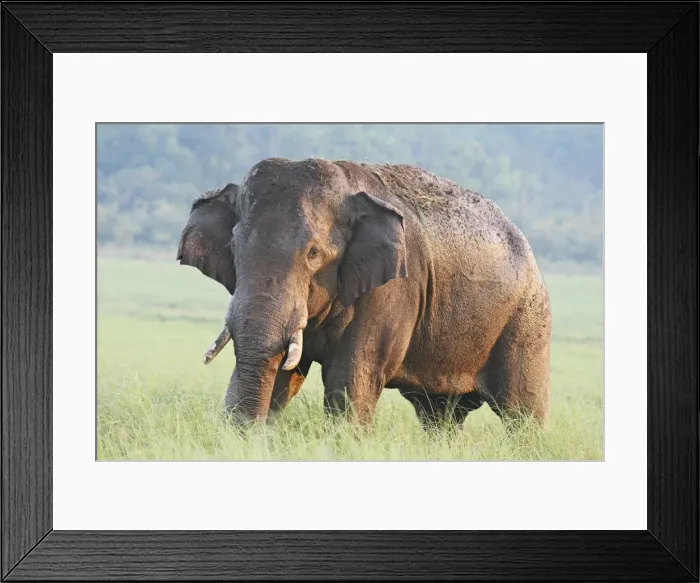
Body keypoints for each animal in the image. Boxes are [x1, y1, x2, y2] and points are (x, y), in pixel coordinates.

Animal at [177, 157, 551, 428]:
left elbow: (352, 376)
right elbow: (286, 374)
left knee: (522, 413)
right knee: (439, 415)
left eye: (314, 253)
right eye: (234, 247)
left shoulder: (395, 287)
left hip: (527, 320)